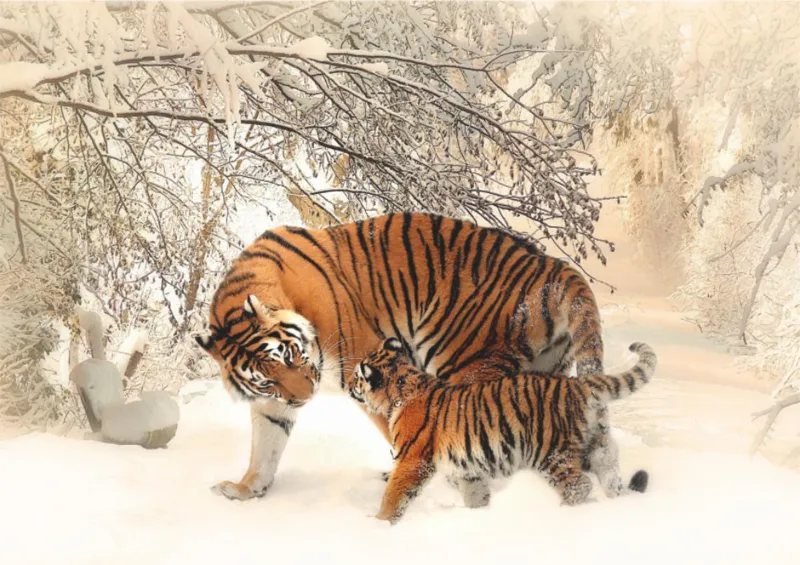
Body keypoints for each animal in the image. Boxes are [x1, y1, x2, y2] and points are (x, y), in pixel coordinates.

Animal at [195, 212, 611, 501]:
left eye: (292, 356)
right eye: (267, 379)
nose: (305, 398)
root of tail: (552, 265)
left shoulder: (366, 366)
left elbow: (398, 430)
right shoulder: (272, 402)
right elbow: (265, 445)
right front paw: (246, 489)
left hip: (463, 362)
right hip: (545, 372)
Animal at [347, 338, 656, 525]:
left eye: (357, 377)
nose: (348, 384)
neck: (402, 387)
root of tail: (578, 384)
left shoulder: (412, 460)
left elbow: (394, 495)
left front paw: (379, 524)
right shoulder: (467, 469)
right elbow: (476, 494)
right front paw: (479, 516)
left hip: (550, 453)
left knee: (579, 486)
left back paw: (562, 514)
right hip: (597, 445)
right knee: (610, 474)